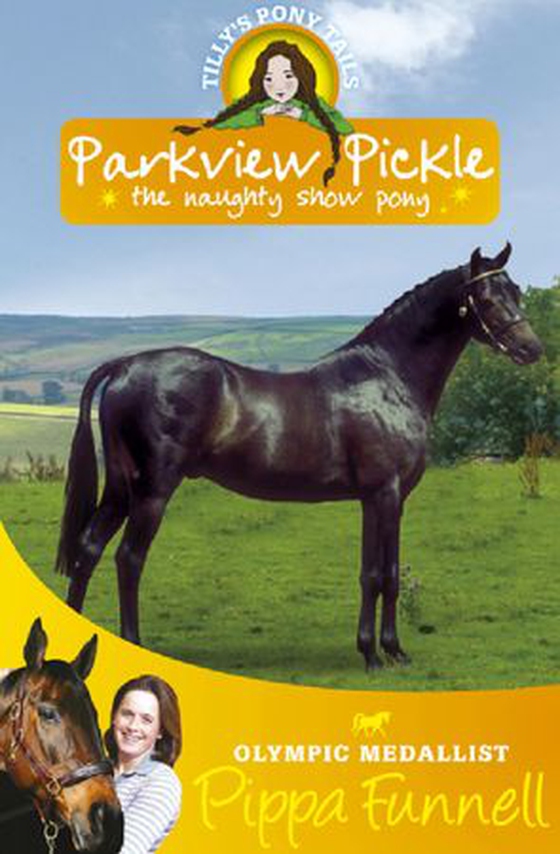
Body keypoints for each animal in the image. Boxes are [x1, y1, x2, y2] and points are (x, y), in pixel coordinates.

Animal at [56, 243, 543, 669]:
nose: (532, 349)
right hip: (152, 491)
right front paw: (375, 655)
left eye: (516, 292)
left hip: (122, 487)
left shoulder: (385, 499)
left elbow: (383, 573)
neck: (388, 376)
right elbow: (379, 575)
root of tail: (123, 366)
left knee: (89, 549)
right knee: (128, 559)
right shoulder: (383, 494)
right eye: (485, 297)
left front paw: (388, 651)